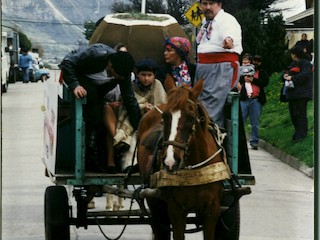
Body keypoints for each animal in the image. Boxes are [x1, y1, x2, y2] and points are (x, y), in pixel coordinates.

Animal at [137, 76, 230, 239]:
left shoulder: (212, 209)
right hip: (155, 203)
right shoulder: (176, 210)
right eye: (165, 116)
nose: (170, 161)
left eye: (191, 117)